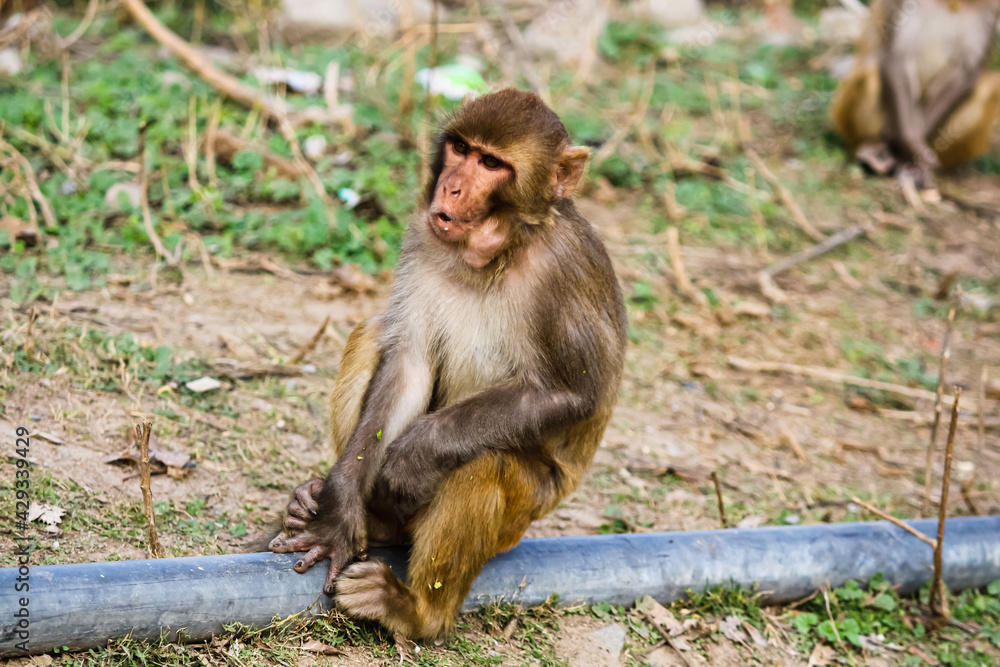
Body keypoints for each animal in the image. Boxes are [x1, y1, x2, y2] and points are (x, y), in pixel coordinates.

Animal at [266, 89, 628, 639]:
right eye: (461, 148)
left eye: (492, 163)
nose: (451, 187)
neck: (500, 250)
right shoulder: (422, 236)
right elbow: (407, 361)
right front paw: (337, 517)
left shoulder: (563, 267)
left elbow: (572, 394)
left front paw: (415, 454)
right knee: (374, 333)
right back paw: (357, 516)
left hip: (522, 517)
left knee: (484, 463)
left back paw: (416, 610)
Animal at [830, 0, 1000, 189]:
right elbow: (895, 59)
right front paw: (913, 150)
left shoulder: (991, 9)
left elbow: (966, 74)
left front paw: (916, 162)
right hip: (843, 118)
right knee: (872, 71)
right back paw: (871, 151)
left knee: (990, 87)